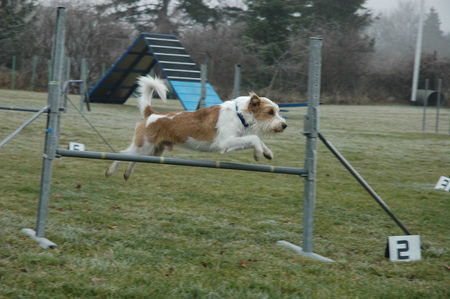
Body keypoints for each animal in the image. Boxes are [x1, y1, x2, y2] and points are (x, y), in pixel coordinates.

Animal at [105, 75, 286, 180]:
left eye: (277, 111)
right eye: (270, 112)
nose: (284, 125)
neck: (238, 113)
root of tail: (151, 114)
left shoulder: (233, 143)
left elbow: (257, 139)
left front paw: (267, 152)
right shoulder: (225, 142)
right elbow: (254, 138)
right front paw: (258, 153)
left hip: (153, 151)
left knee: (134, 159)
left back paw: (127, 174)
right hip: (143, 145)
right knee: (122, 154)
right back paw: (110, 172)